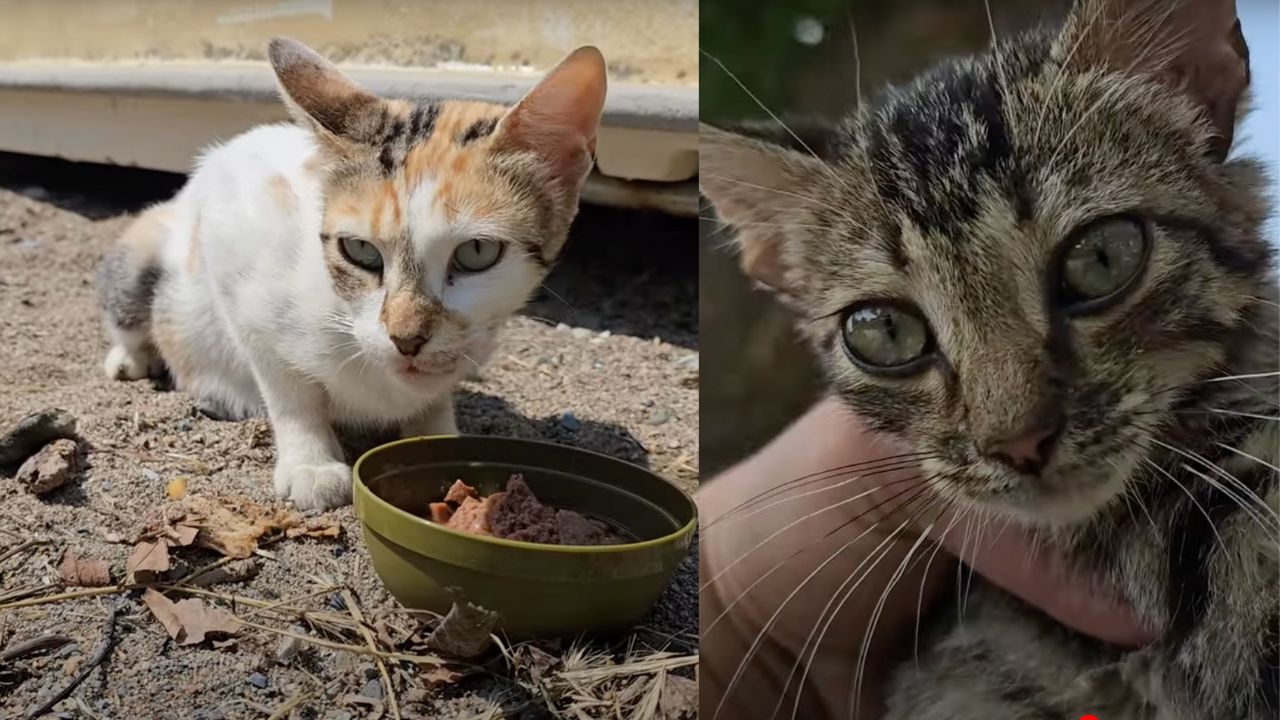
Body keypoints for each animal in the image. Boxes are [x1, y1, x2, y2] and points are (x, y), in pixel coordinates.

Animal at [97, 39, 606, 507]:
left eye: (477, 252)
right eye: (360, 250)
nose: (406, 338)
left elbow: (435, 397)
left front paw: (435, 433)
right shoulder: (234, 242)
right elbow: (288, 389)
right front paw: (312, 464)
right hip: (143, 253)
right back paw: (134, 360)